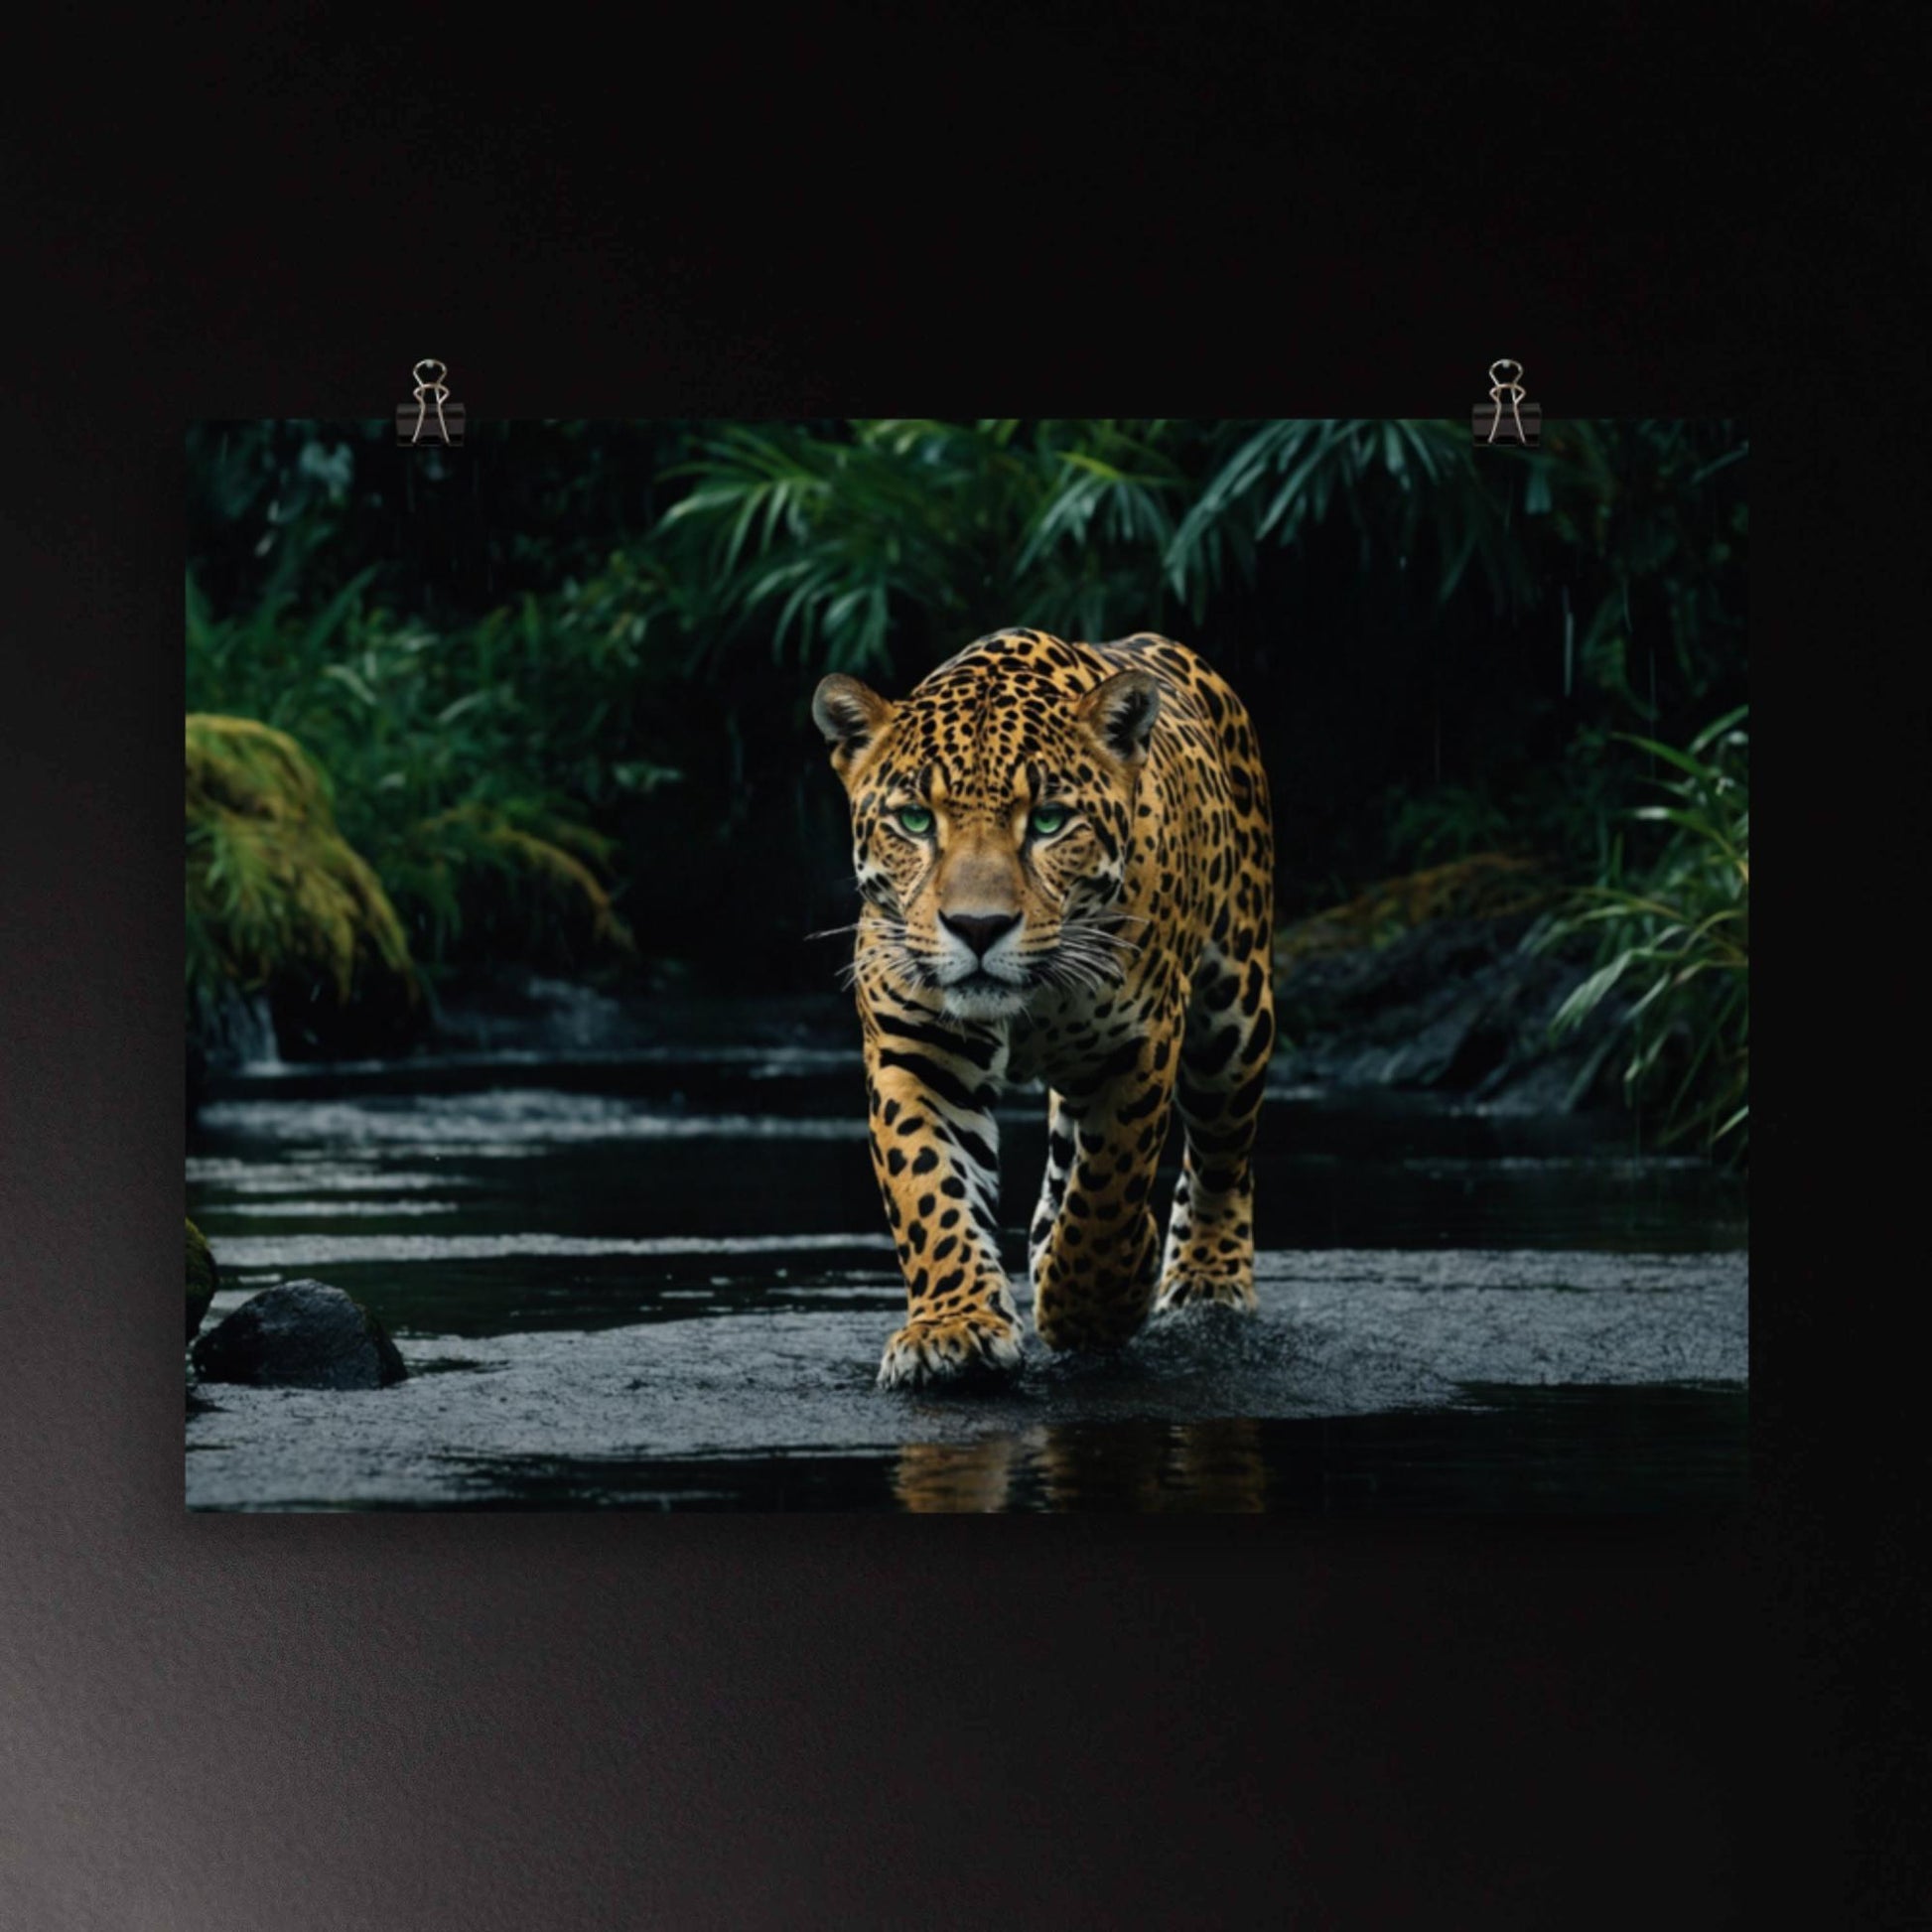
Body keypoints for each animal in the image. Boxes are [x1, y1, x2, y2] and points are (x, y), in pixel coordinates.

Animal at [811, 626, 1276, 1392]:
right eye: (915, 820)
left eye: (1051, 822)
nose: (977, 927)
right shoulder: (917, 1053)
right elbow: (929, 1189)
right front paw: (954, 1327)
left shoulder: (1138, 1045)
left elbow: (1109, 1188)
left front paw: (1091, 1302)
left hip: (1234, 1017)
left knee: (1221, 1157)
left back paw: (1208, 1282)